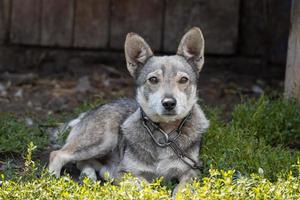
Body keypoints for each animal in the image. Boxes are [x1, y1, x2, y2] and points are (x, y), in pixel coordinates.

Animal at [48, 26, 209, 195]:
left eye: (183, 80)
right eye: (153, 79)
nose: (169, 103)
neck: (165, 134)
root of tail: (88, 112)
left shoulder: (192, 171)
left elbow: (182, 189)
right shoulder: (124, 172)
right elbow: (147, 188)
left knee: (82, 162)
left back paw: (89, 175)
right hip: (102, 141)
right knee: (58, 154)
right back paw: (53, 181)